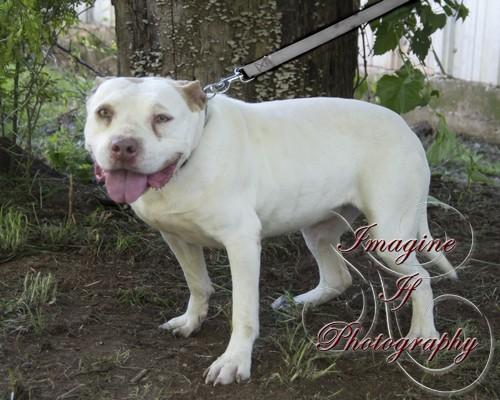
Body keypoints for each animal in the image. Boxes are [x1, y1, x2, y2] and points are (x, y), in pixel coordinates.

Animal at [84, 76, 456, 386]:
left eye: (162, 118)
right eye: (104, 113)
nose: (123, 146)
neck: (190, 158)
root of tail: (405, 127)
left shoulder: (242, 244)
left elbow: (243, 312)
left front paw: (234, 361)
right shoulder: (176, 237)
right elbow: (198, 285)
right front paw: (192, 321)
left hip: (388, 236)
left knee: (421, 278)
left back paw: (423, 334)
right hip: (317, 229)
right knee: (339, 277)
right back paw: (300, 303)